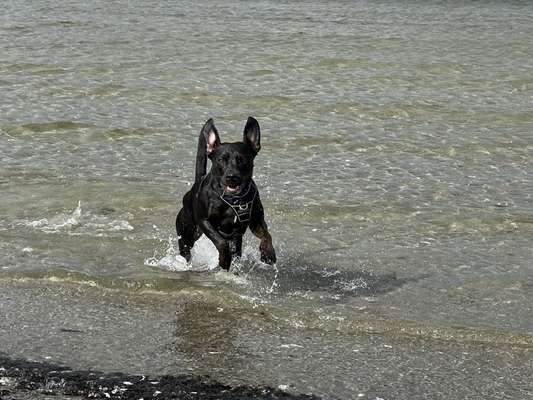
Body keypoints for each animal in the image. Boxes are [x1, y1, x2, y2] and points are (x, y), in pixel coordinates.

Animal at [177, 117, 276, 270]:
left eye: (242, 159)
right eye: (221, 159)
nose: (231, 176)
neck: (233, 200)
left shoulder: (256, 220)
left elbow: (266, 235)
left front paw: (268, 253)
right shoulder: (204, 221)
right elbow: (220, 241)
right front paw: (224, 260)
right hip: (188, 229)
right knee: (185, 245)